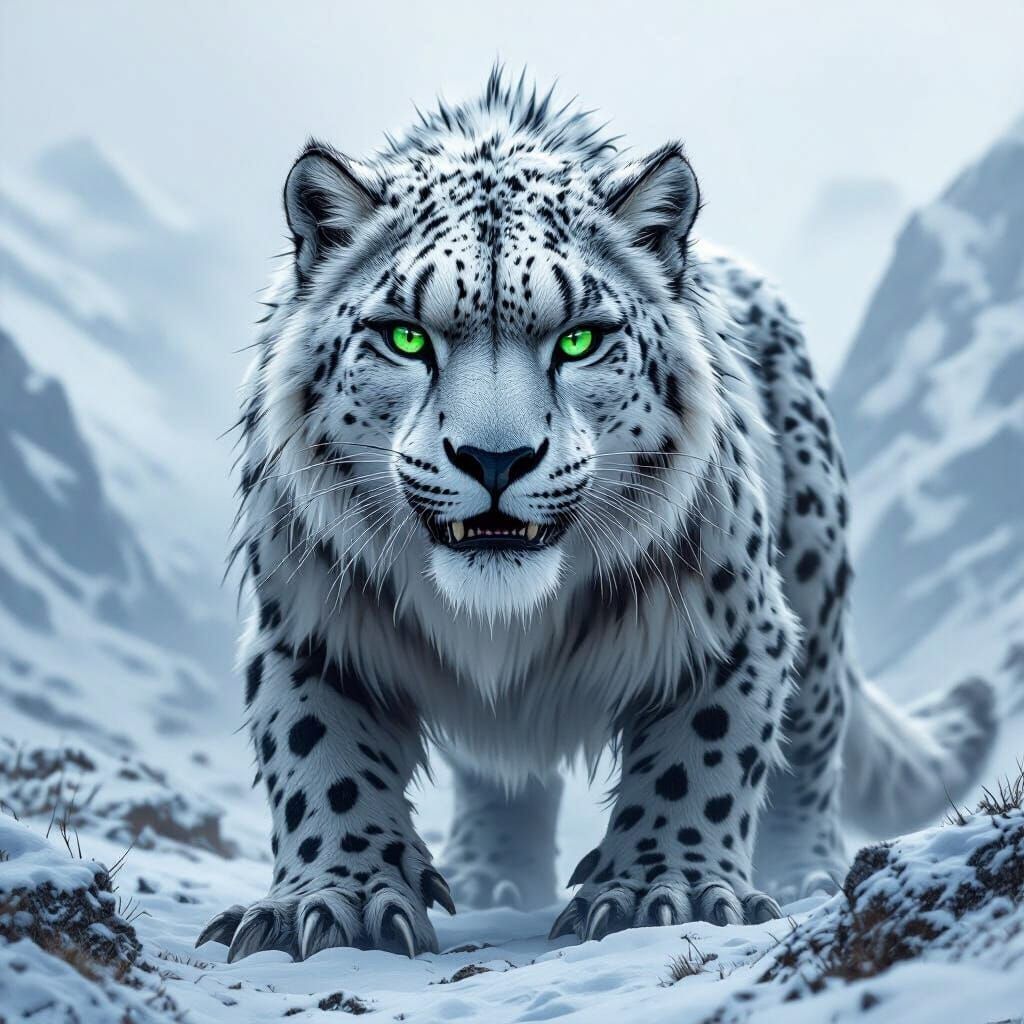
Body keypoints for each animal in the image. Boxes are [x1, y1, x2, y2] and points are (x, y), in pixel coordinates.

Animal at [197, 69, 996, 961]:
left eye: (580, 340)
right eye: (405, 337)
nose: (496, 459)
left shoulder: (730, 621)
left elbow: (702, 752)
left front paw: (666, 890)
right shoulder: (310, 624)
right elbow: (320, 757)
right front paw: (338, 900)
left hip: (816, 580)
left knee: (815, 735)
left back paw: (807, 872)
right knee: (502, 774)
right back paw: (491, 874)